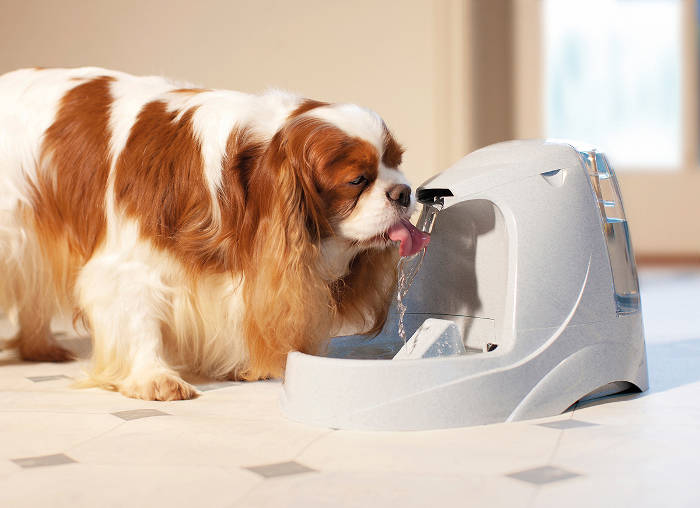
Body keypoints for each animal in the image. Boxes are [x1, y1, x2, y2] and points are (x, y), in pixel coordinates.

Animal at [0, 68, 430, 400]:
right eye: (357, 180)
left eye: (397, 162)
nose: (404, 192)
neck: (240, 185)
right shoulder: (129, 266)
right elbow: (139, 320)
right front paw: (154, 377)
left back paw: (38, 347)